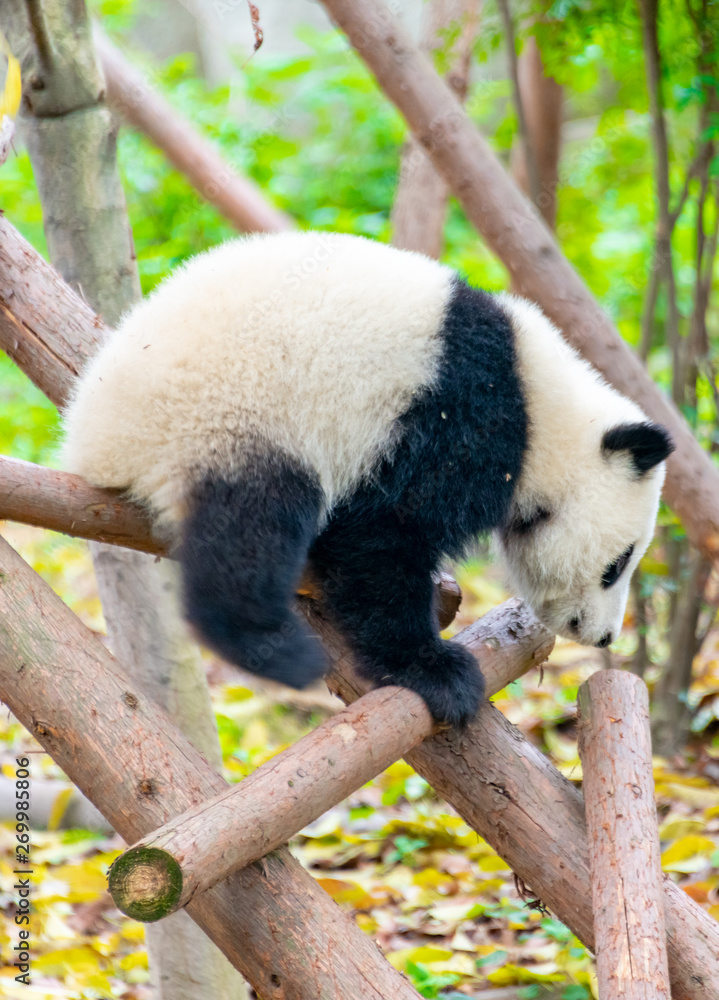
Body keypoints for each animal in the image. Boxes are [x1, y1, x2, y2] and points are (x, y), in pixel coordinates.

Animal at [61, 231, 673, 727]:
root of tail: (91, 440)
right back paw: (279, 651)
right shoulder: (457, 418)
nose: (603, 636)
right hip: (221, 420)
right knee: (251, 529)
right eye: (618, 564)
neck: (545, 412)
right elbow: (383, 538)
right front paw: (436, 672)